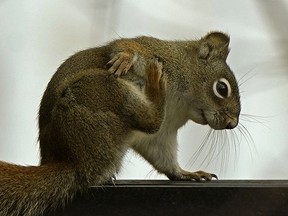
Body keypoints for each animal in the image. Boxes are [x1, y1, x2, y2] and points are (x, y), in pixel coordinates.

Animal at [0, 31, 240, 215]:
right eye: (222, 88)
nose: (232, 123)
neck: (180, 104)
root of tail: (70, 161)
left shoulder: (162, 135)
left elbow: (163, 157)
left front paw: (186, 173)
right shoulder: (155, 52)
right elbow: (125, 46)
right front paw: (125, 58)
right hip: (102, 90)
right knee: (149, 119)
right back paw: (156, 83)